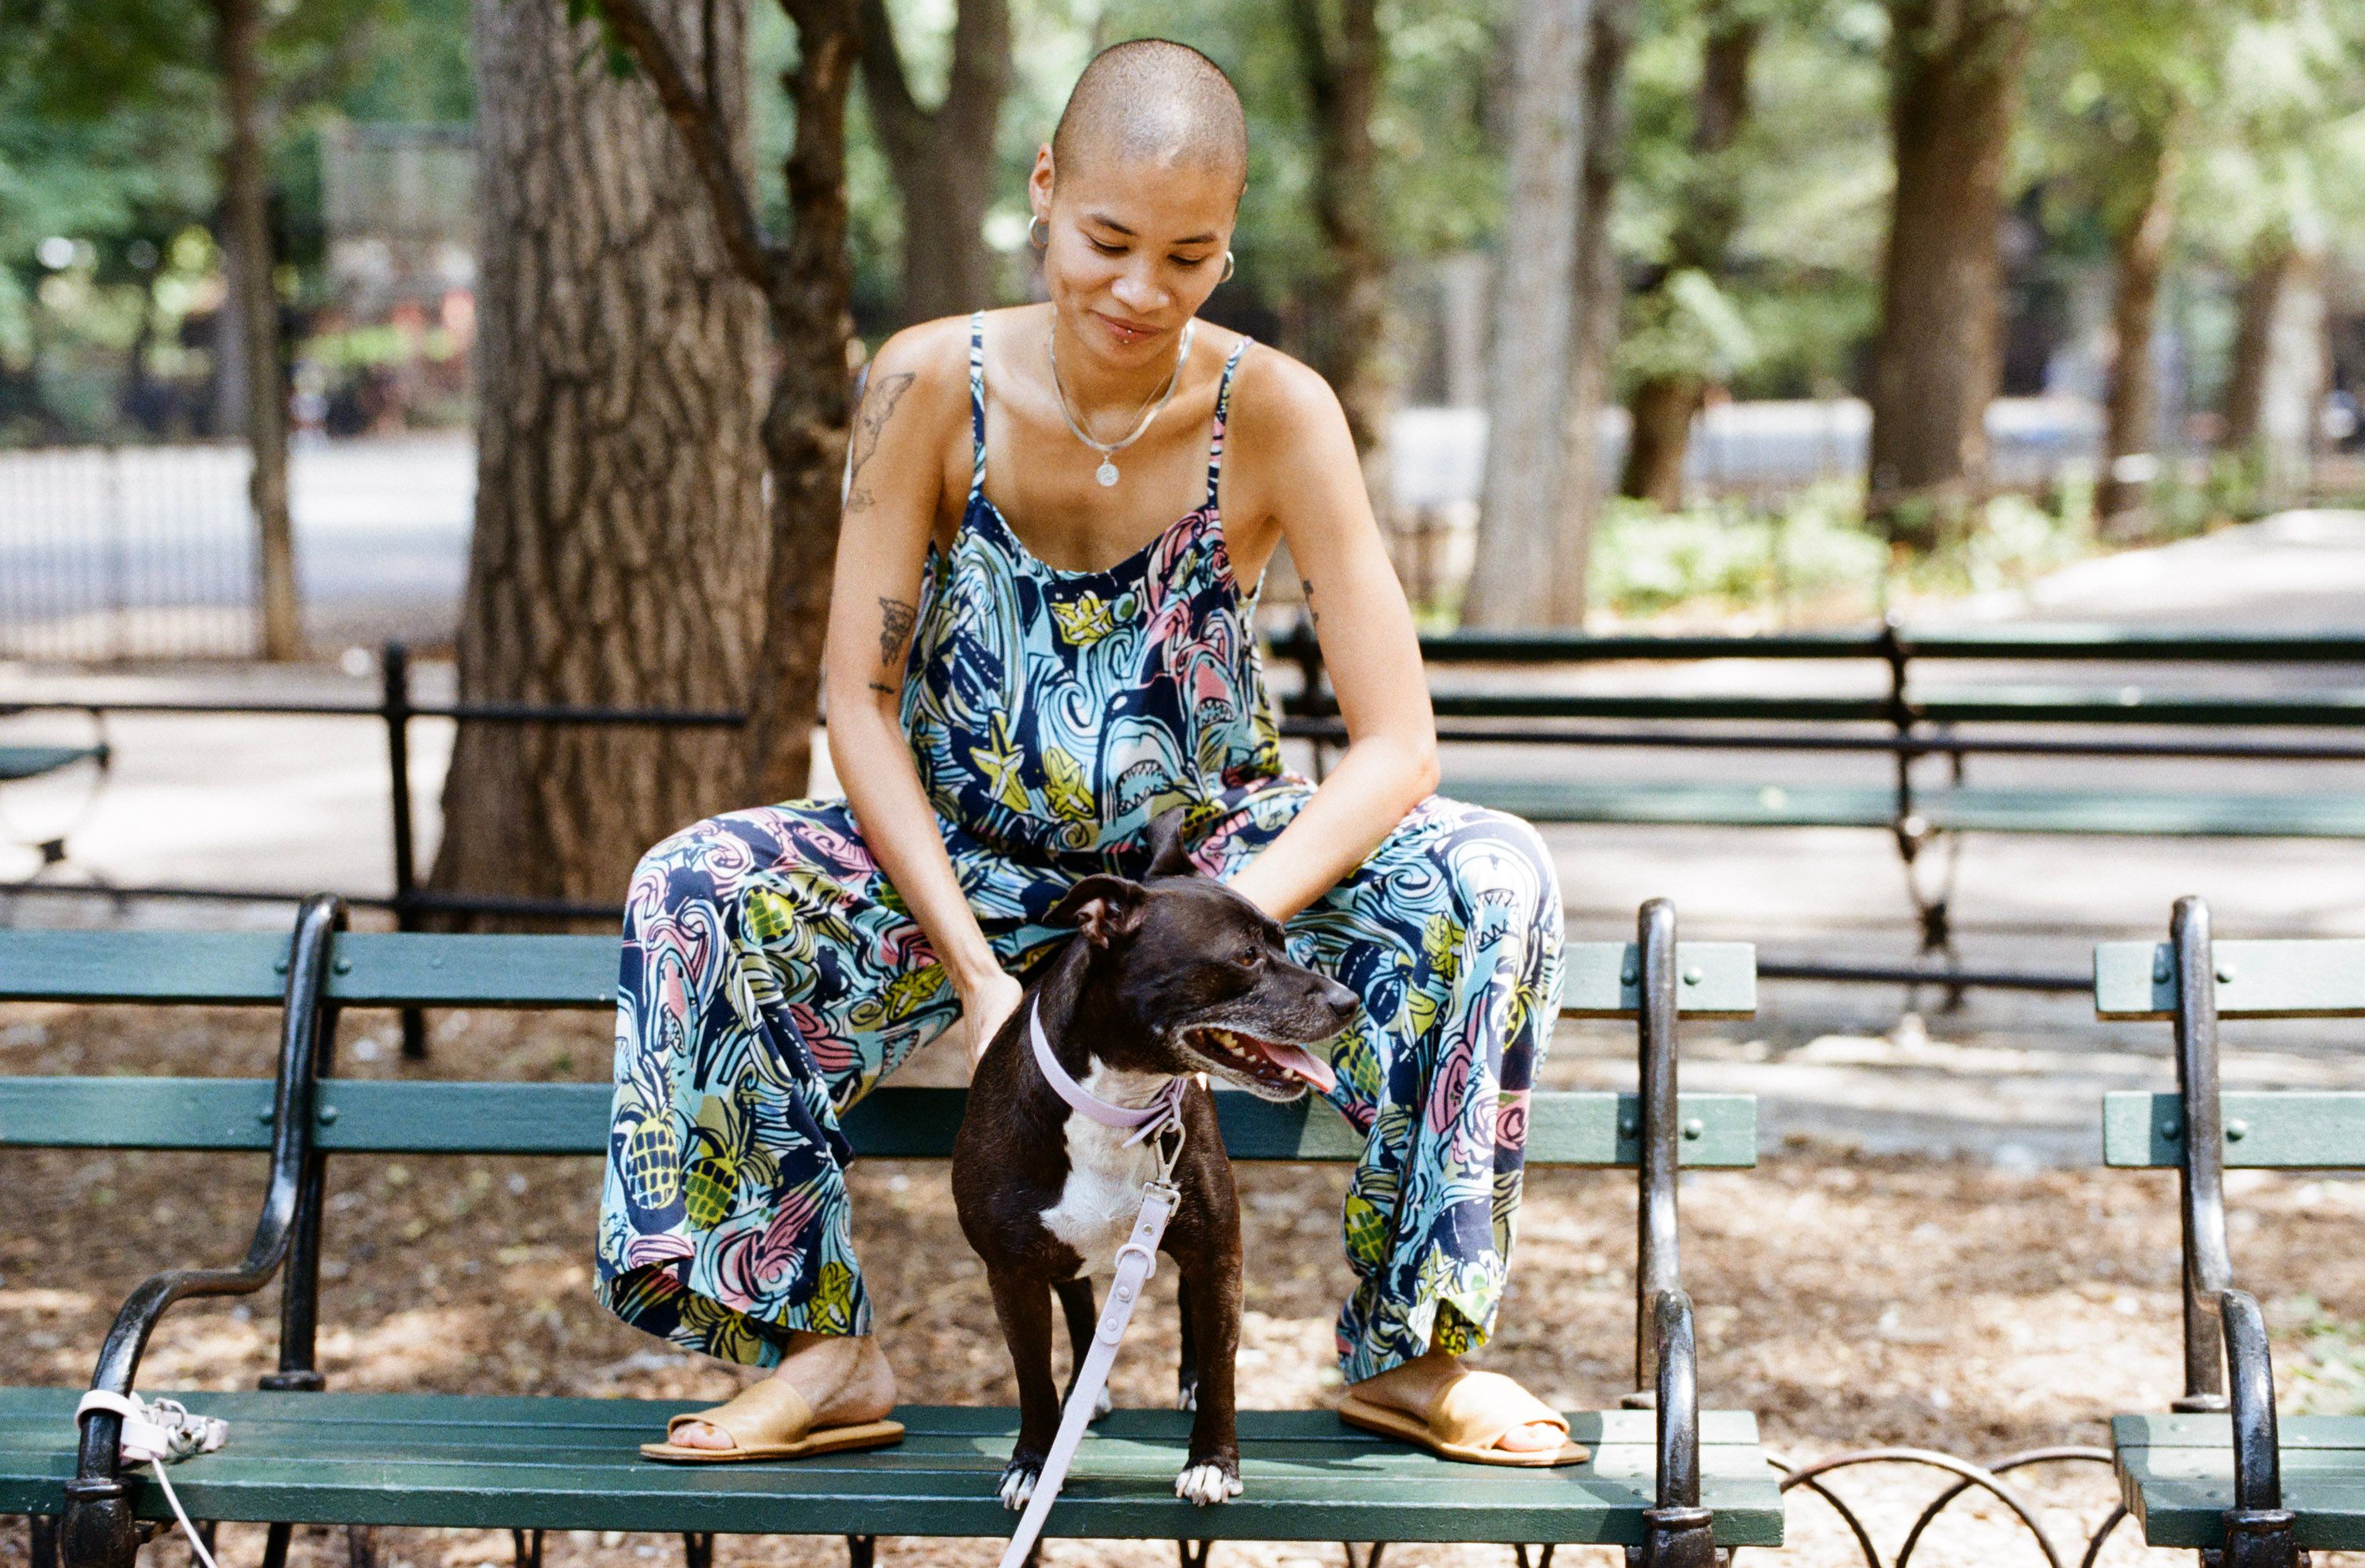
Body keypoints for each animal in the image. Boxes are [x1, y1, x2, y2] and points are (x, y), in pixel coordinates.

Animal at [952, 810, 1359, 1512]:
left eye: (1283, 941)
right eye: (1246, 956)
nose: (1348, 999)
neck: (1117, 1102)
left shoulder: (1217, 1252)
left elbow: (1223, 1364)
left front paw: (1213, 1462)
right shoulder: (1011, 1272)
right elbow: (1032, 1376)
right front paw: (1033, 1460)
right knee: (1082, 1306)